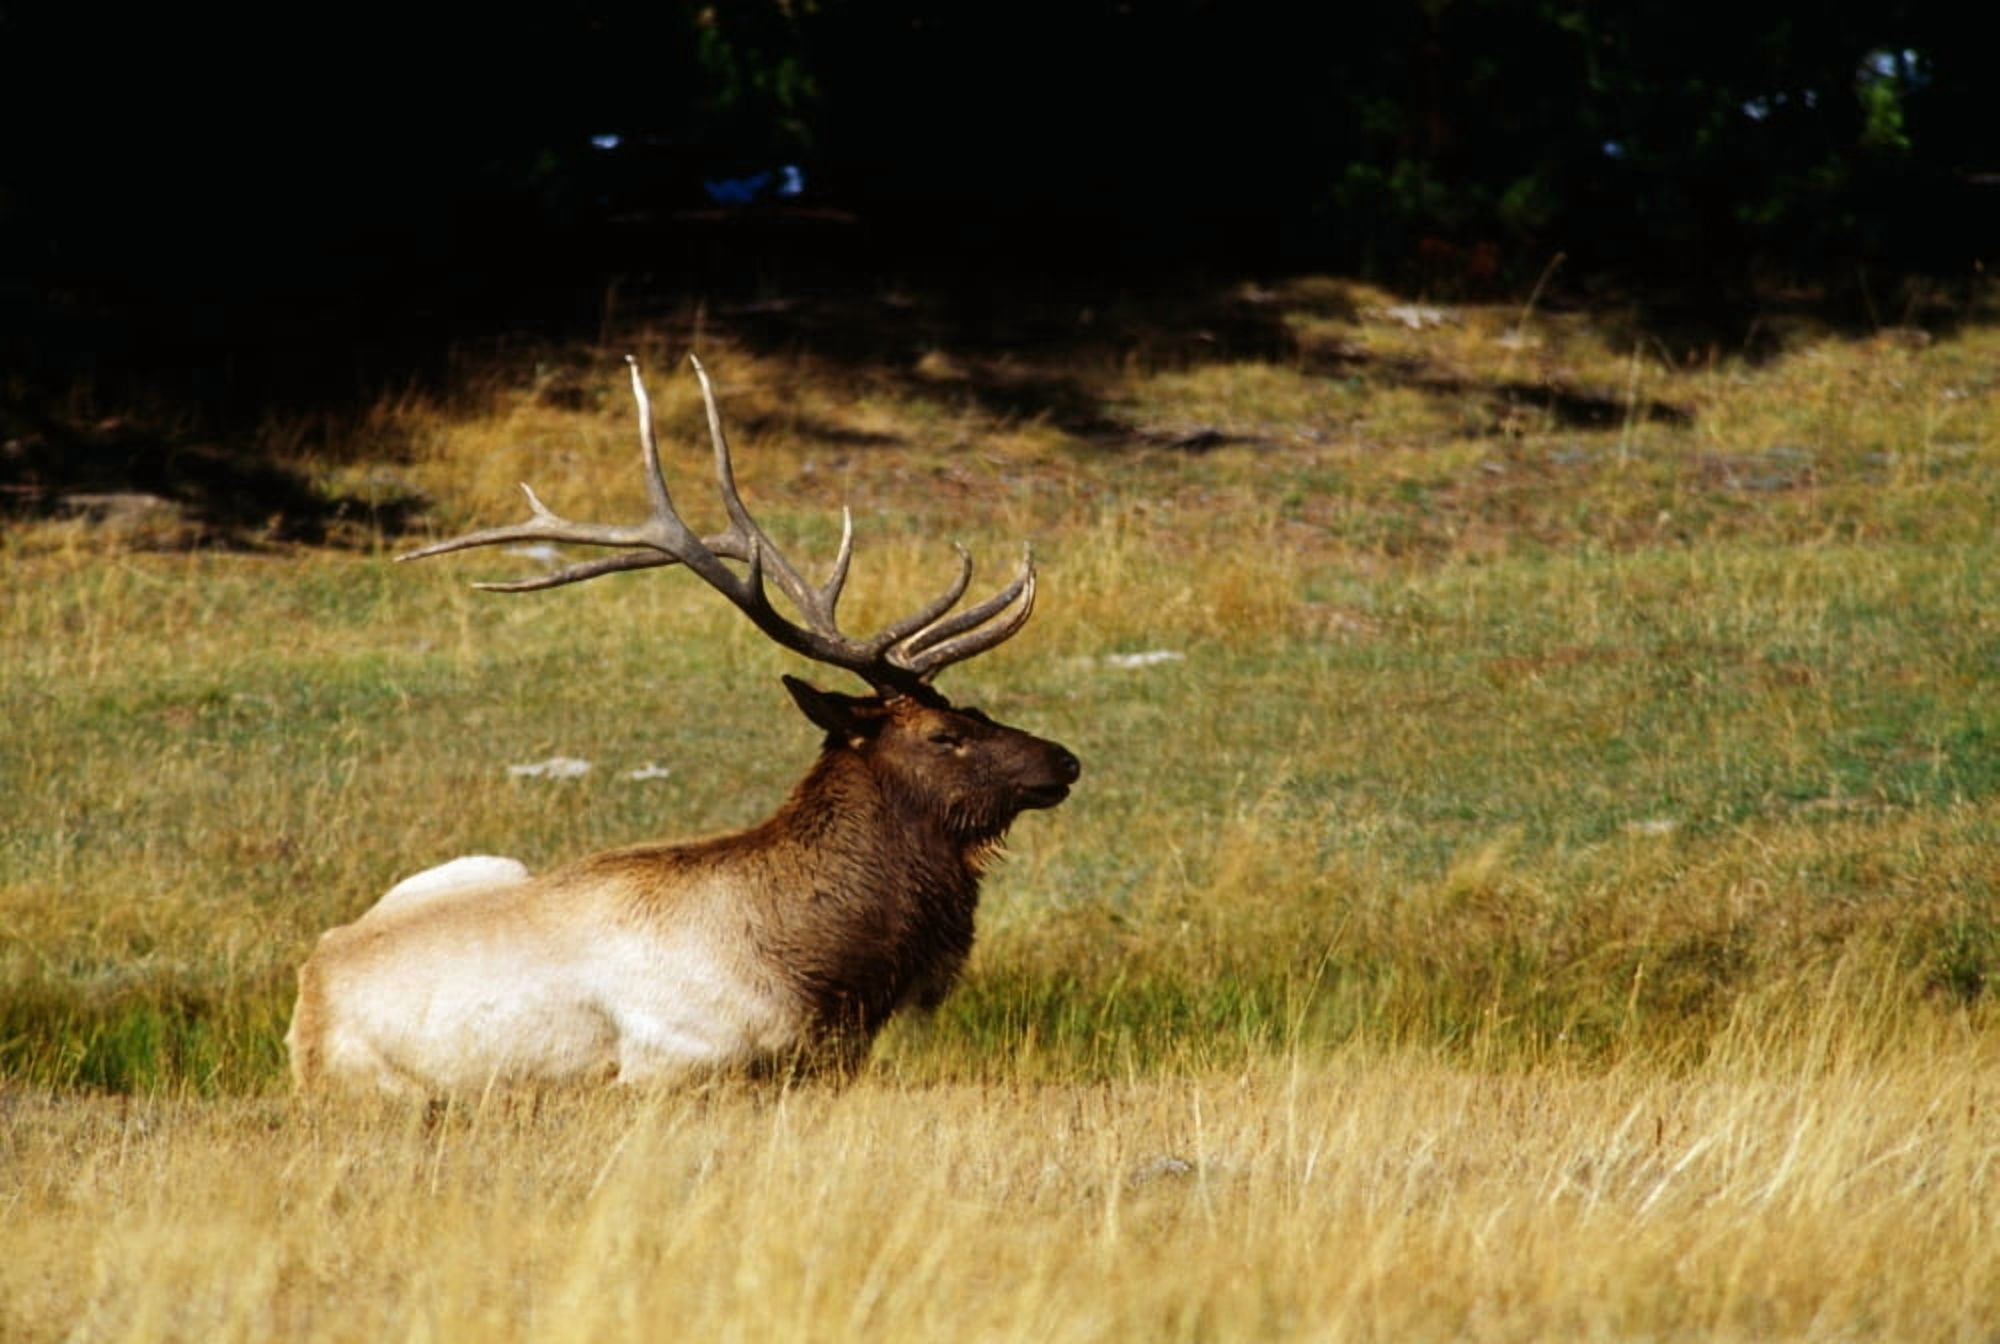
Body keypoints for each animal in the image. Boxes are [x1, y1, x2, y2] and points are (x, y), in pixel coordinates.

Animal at [285, 356, 1079, 1096]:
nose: (1064, 760)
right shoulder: (674, 1067)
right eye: (944, 735)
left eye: (976, 710)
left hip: (480, 863)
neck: (819, 972)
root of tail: (305, 1002)